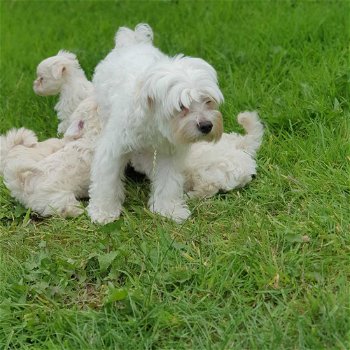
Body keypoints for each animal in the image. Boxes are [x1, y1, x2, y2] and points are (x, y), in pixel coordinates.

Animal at [88, 23, 224, 224]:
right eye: (181, 106)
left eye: (208, 101)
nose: (207, 126)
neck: (155, 125)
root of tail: (132, 41)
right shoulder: (113, 149)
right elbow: (107, 181)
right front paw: (103, 211)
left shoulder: (169, 153)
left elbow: (168, 182)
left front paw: (168, 209)